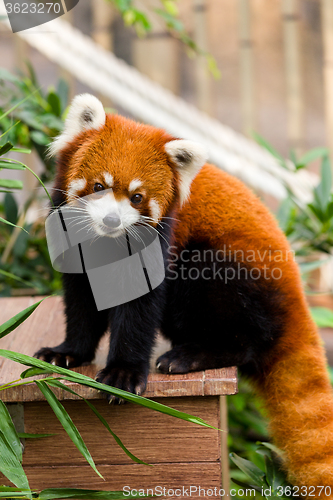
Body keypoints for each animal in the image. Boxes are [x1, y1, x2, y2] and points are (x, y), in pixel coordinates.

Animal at [37, 94, 333, 492]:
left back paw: (192, 354)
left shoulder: (161, 239)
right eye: (99, 186)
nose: (112, 221)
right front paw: (68, 352)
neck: (107, 241)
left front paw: (123, 373)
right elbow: (82, 302)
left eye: (137, 197)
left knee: (241, 331)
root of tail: (295, 294)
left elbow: (139, 309)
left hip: (230, 272)